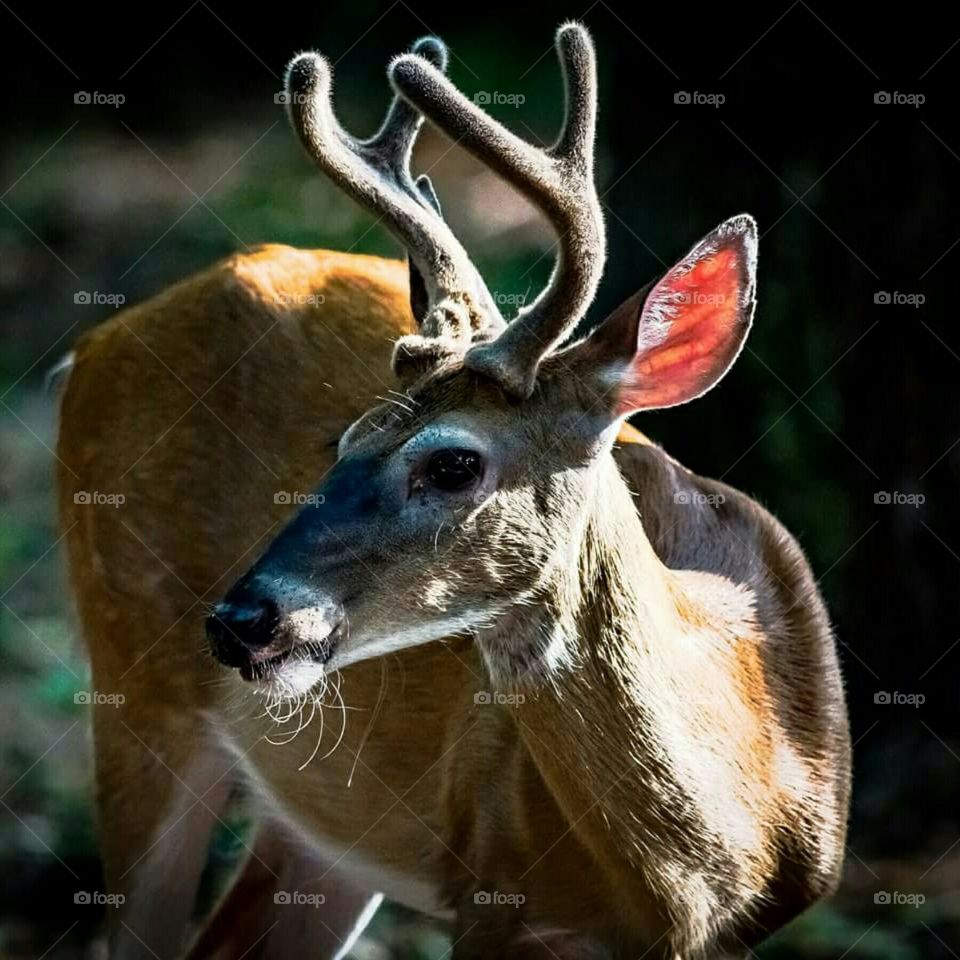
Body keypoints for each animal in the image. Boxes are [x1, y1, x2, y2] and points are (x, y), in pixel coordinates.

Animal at [55, 22, 851, 960]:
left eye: (452, 464)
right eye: (343, 442)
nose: (241, 620)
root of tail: (96, 340)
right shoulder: (493, 896)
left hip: (325, 834)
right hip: (138, 686)